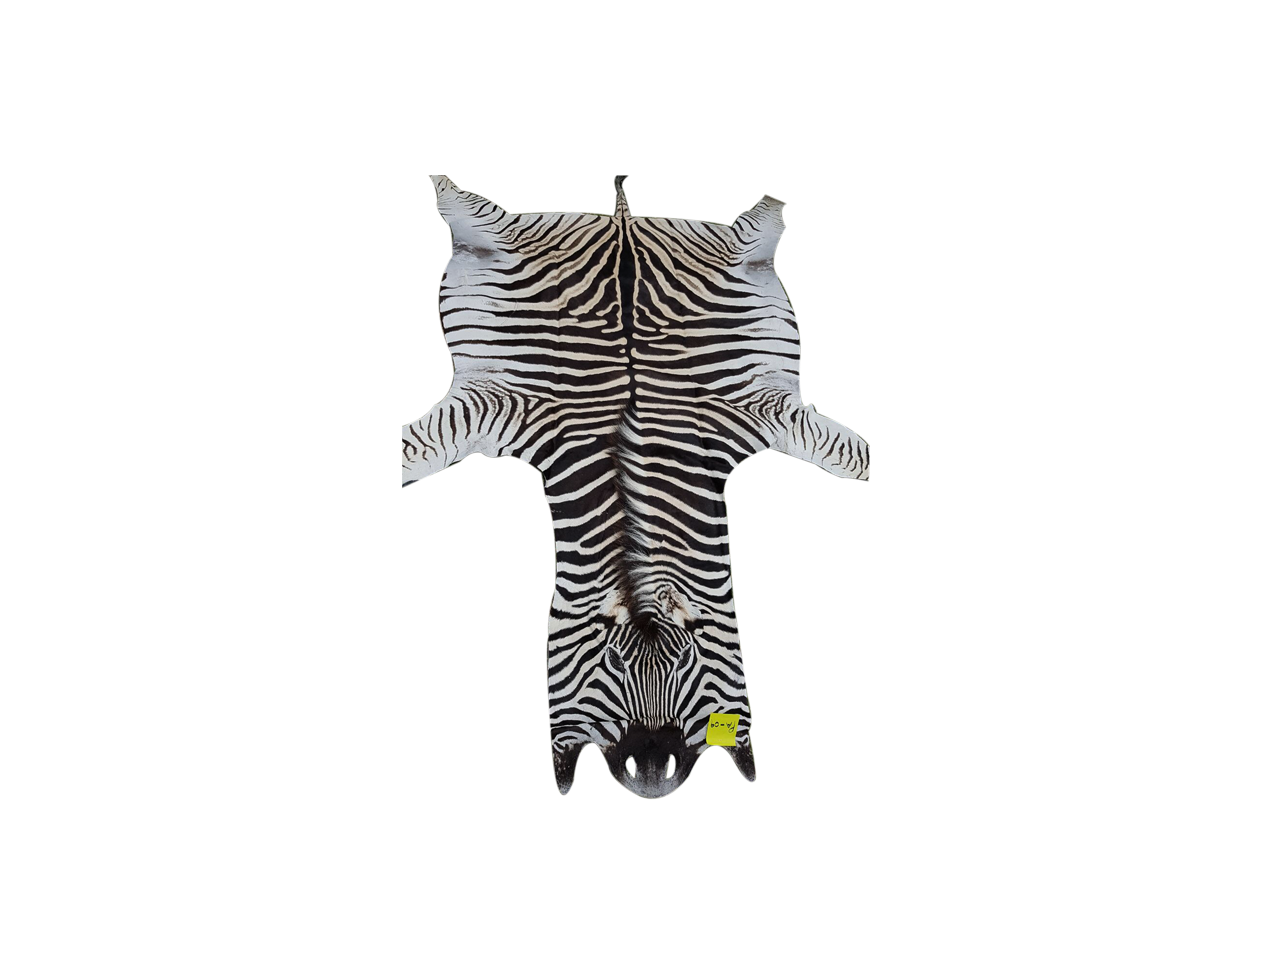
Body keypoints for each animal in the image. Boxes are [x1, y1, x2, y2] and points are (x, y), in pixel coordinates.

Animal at [403, 175, 870, 798]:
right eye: (612, 665)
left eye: (688, 664)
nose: (651, 776)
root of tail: (623, 218)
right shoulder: (493, 407)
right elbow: (415, 448)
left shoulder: (761, 412)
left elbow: (852, 456)